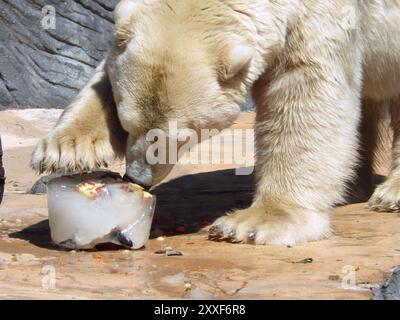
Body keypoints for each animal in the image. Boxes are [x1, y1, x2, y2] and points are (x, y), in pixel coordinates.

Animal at [31, 0, 400, 245]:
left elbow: (305, 87)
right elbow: (104, 73)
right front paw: (66, 148)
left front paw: (259, 221)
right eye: (126, 124)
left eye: (179, 138)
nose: (137, 178)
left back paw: (389, 194)